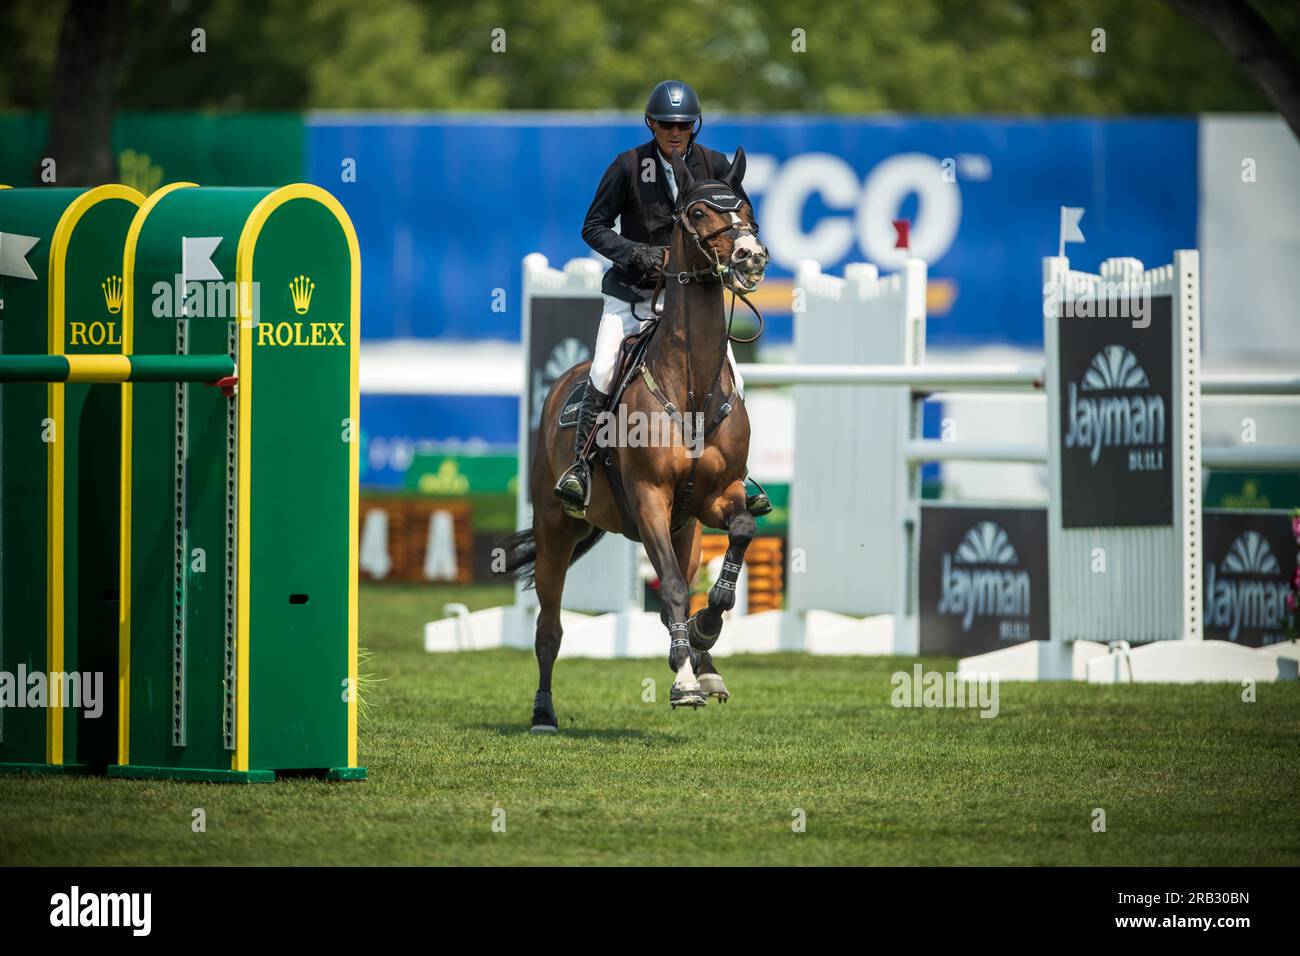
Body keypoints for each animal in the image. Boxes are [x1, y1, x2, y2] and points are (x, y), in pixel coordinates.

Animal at [504, 147, 769, 733]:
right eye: (698, 212)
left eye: (745, 208)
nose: (751, 257)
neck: (689, 383)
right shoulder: (649, 497)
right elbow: (667, 587)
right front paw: (683, 684)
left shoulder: (715, 496)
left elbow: (738, 535)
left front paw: (705, 633)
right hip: (556, 528)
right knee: (549, 629)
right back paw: (543, 713)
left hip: (685, 529)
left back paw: (704, 662)